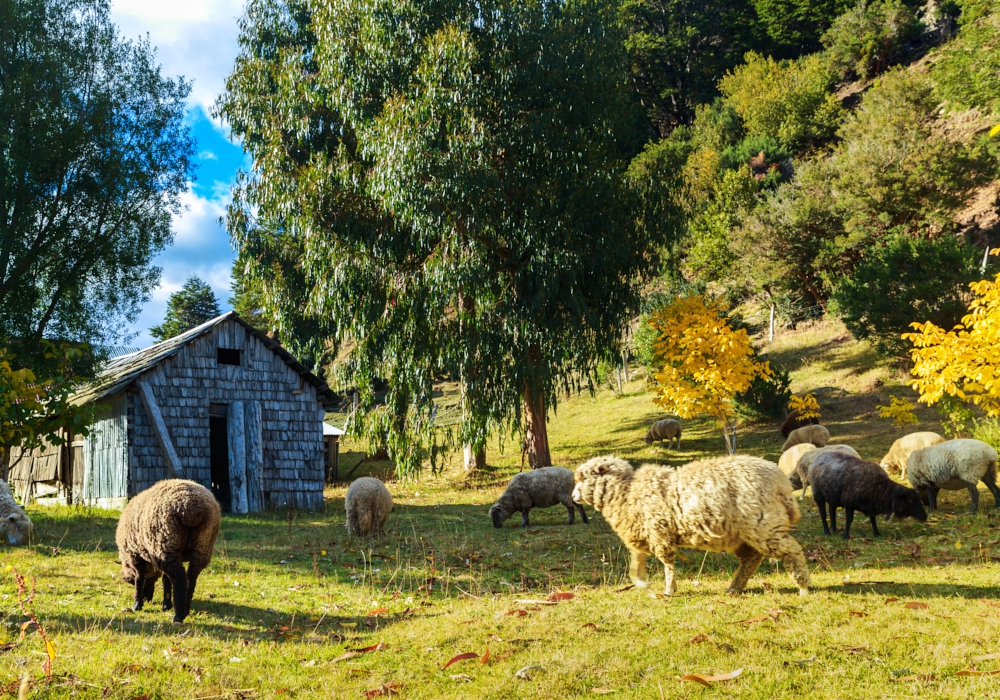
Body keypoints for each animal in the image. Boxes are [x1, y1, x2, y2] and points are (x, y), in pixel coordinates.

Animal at [115, 482, 221, 624]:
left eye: (130, 581)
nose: (147, 599)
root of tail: (192, 510)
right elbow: (166, 579)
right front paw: (166, 605)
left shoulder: (135, 556)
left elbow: (140, 578)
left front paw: (136, 605)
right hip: (203, 546)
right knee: (191, 577)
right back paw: (185, 609)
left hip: (164, 545)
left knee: (179, 577)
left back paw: (178, 616)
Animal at [572, 454, 812, 596]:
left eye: (583, 478)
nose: (573, 497)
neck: (627, 492)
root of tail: (781, 483)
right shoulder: (643, 533)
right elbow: (637, 561)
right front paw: (641, 583)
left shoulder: (660, 531)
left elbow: (667, 562)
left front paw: (669, 589)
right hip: (745, 532)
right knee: (751, 559)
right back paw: (734, 587)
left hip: (763, 523)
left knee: (790, 550)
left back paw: (803, 587)